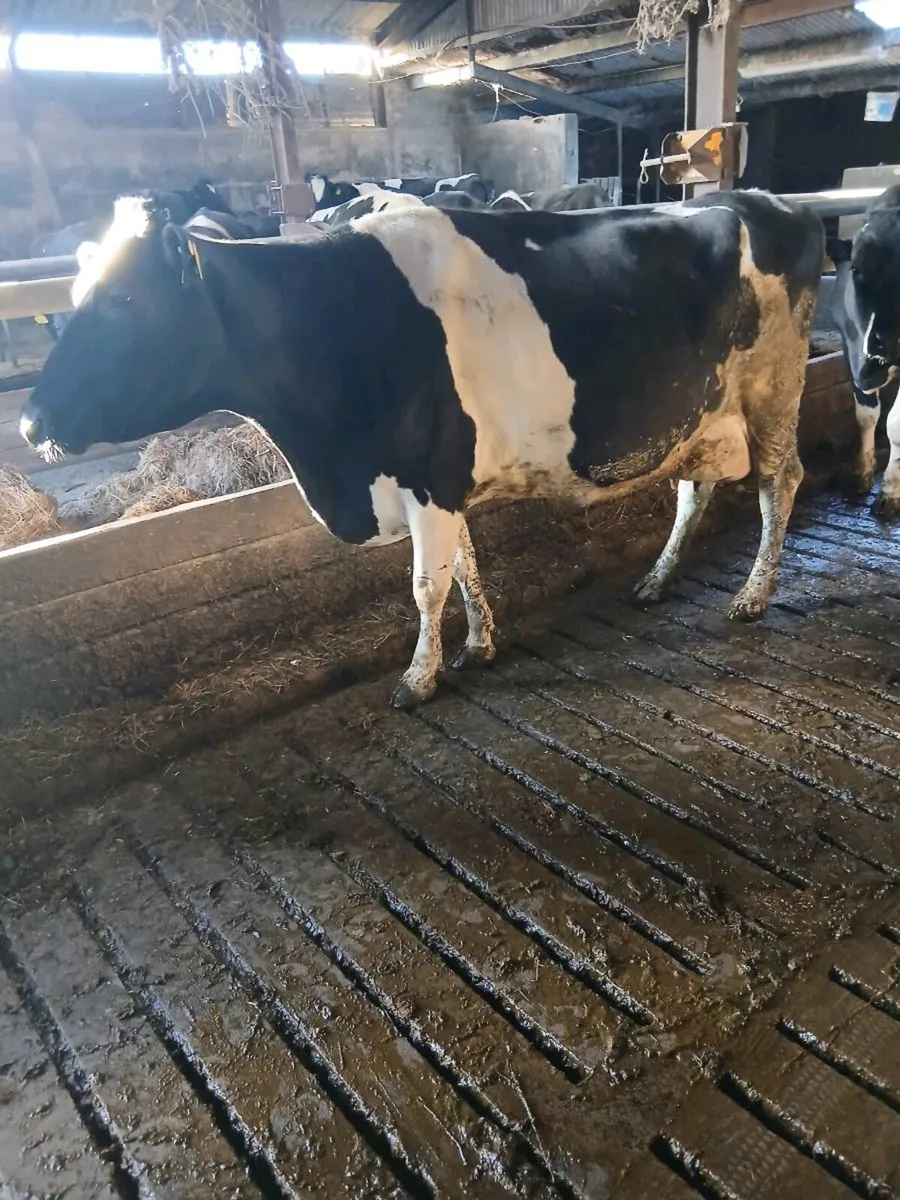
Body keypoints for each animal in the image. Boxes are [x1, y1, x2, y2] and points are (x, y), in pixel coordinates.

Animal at [19, 191, 823, 709]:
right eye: (75, 295)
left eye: (125, 302)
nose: (28, 424)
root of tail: (773, 202)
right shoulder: (441, 481)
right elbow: (464, 565)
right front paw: (480, 646)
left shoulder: (429, 475)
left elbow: (425, 585)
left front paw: (419, 678)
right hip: (703, 413)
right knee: (695, 489)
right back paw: (656, 580)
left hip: (774, 387)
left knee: (780, 483)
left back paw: (752, 597)